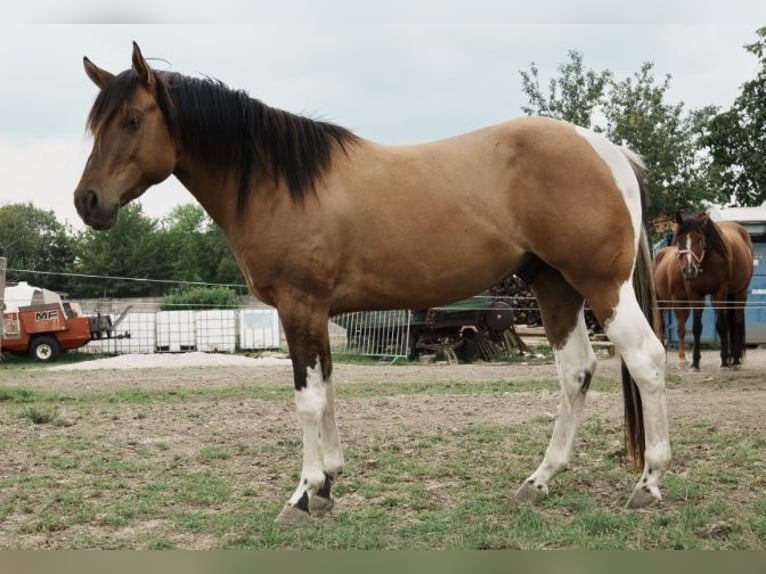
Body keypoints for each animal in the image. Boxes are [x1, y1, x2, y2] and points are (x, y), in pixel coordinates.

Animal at [72, 42, 670, 522]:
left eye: (132, 120)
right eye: (96, 125)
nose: (87, 202)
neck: (281, 183)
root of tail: (610, 152)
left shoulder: (299, 307)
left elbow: (308, 399)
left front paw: (303, 494)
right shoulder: (315, 314)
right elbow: (329, 389)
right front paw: (328, 484)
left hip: (602, 285)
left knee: (646, 360)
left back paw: (649, 484)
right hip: (555, 286)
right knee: (577, 371)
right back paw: (540, 479)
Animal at [662, 212, 754, 371]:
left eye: (699, 238)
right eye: (679, 239)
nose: (689, 270)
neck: (708, 261)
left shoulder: (719, 291)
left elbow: (721, 326)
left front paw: (724, 362)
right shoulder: (695, 294)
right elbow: (696, 327)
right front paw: (695, 363)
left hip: (740, 292)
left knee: (736, 321)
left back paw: (735, 360)